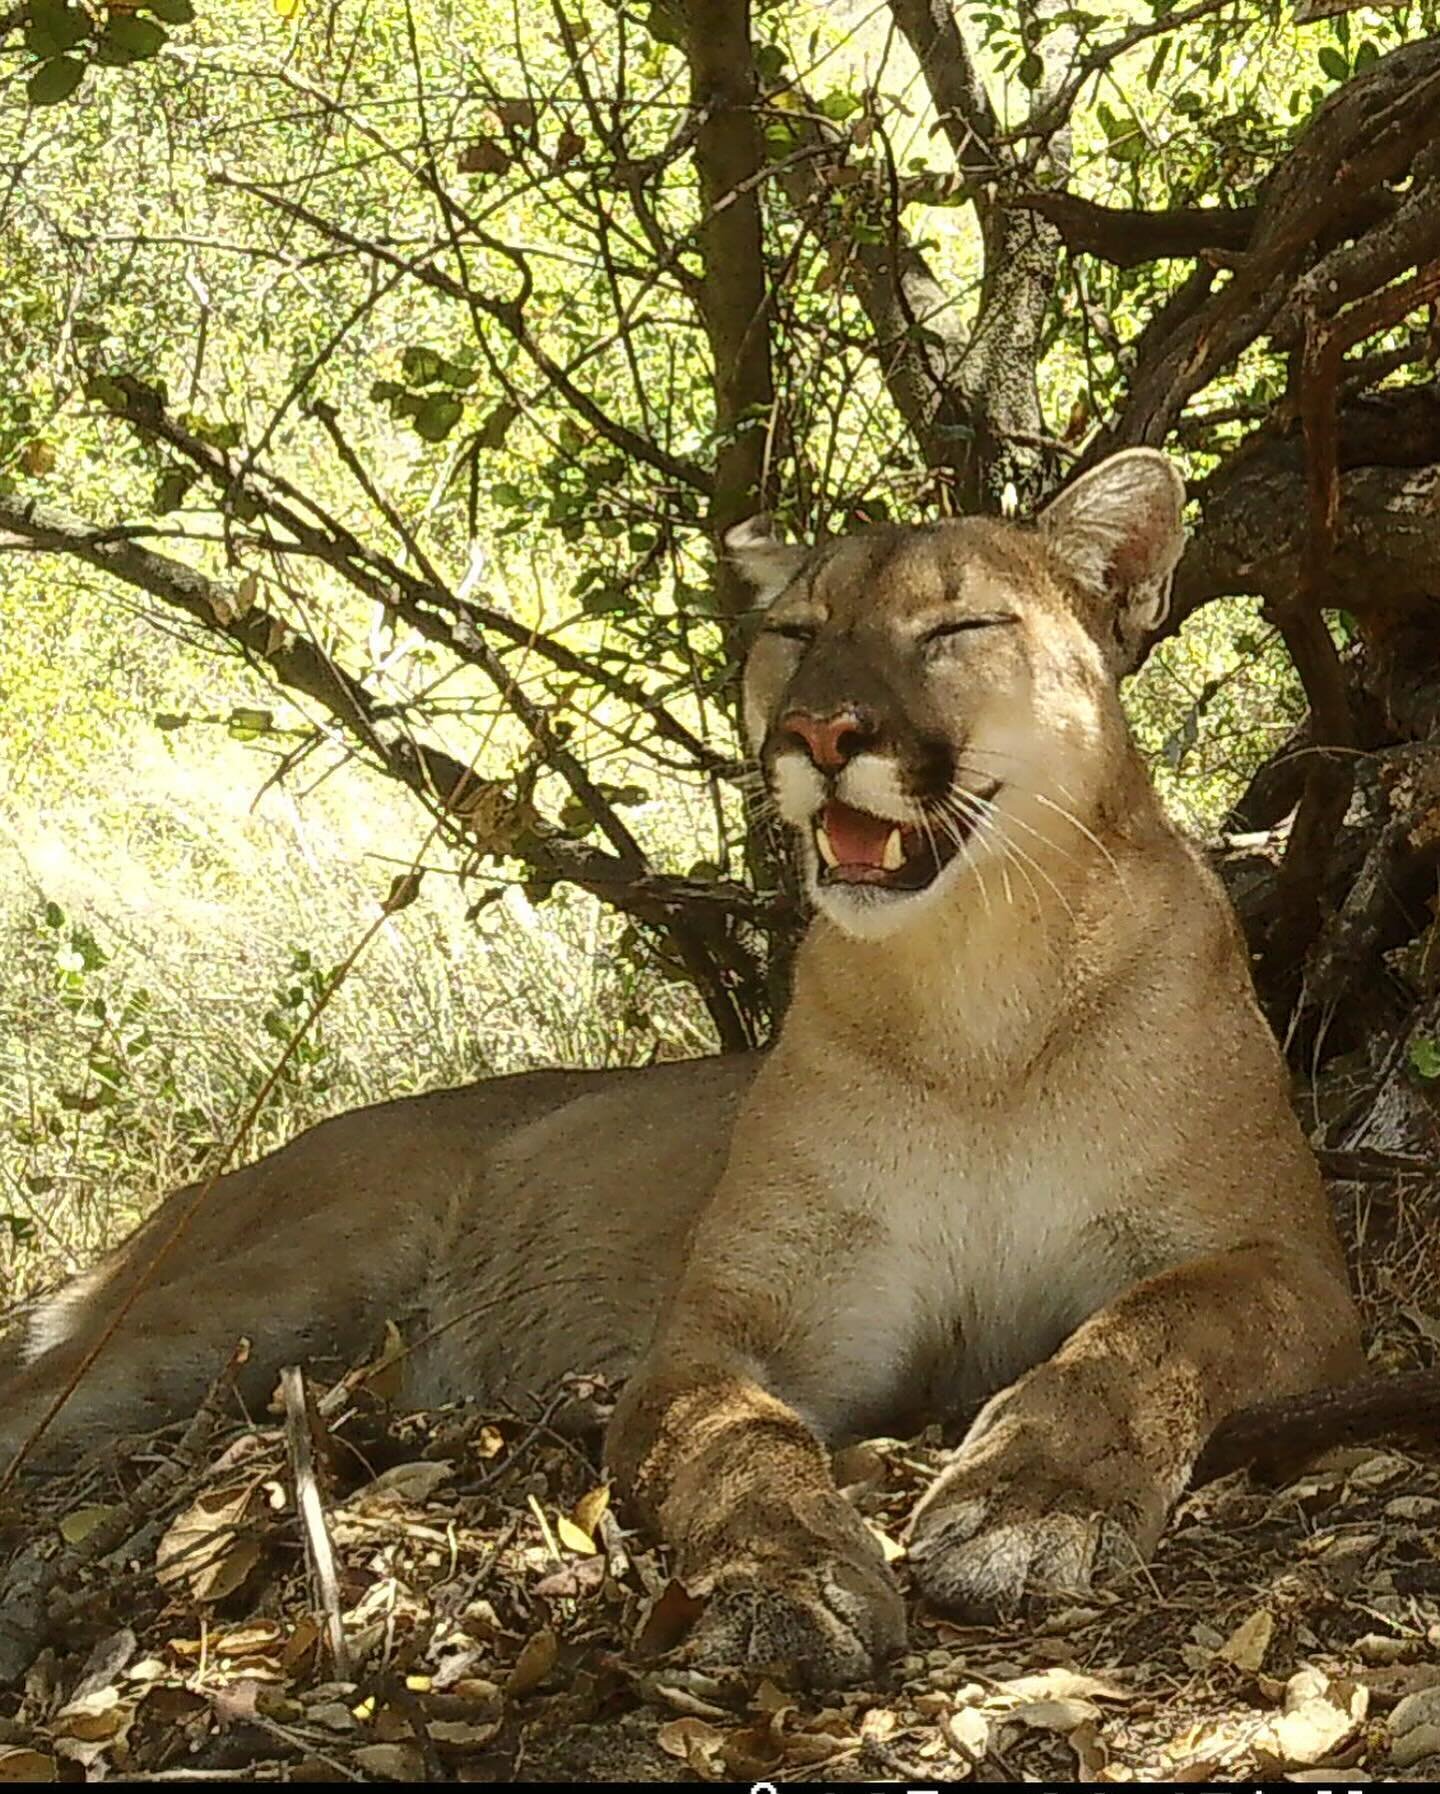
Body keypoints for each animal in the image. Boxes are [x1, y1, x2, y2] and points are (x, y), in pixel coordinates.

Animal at [2, 448, 1377, 1679]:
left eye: (957, 627)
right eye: (796, 631)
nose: (820, 729)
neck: (975, 999)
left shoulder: (1281, 1261)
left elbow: (1143, 1337)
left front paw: (1034, 1505)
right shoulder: (732, 1321)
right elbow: (734, 1445)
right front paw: (785, 1584)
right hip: (276, 1280)